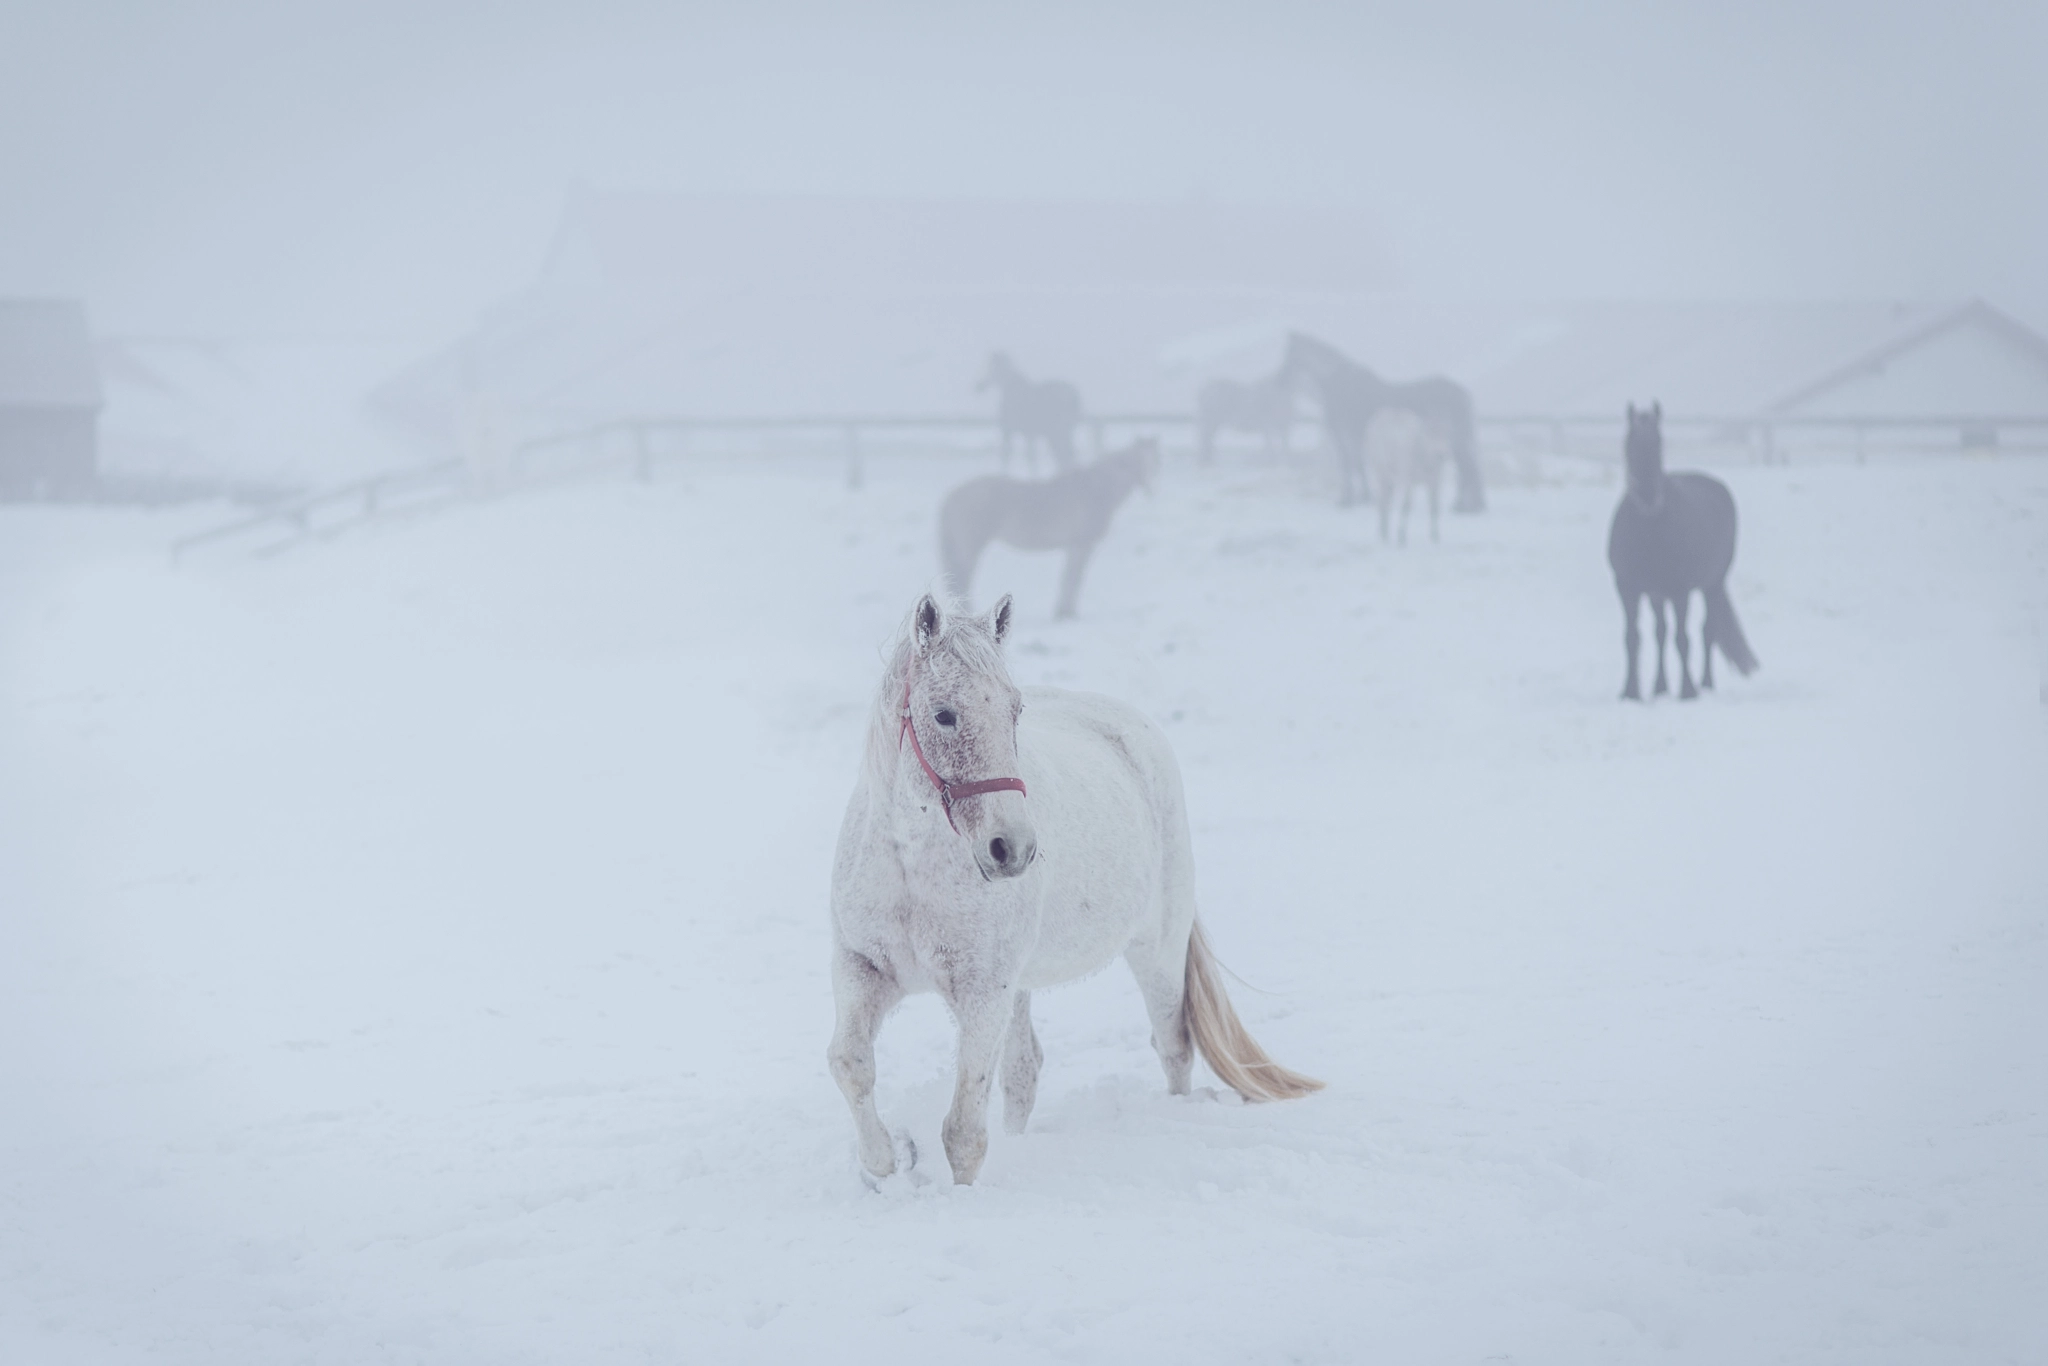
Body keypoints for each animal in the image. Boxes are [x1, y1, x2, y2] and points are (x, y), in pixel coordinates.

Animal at [823, 593, 1318, 1187]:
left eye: (1015, 710)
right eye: (943, 714)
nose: (1012, 848)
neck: (913, 866)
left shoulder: (983, 993)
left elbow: (963, 1131)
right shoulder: (863, 968)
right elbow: (850, 1064)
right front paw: (883, 1164)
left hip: (1157, 951)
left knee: (1173, 1045)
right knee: (1024, 1071)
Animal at [937, 438, 1163, 618]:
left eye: (1155, 462)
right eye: (1137, 462)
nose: (1150, 489)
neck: (1093, 491)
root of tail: (953, 495)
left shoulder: (1075, 547)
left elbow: (1070, 578)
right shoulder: (1080, 545)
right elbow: (1073, 579)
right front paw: (1066, 612)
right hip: (971, 548)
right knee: (962, 578)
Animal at [1269, 333, 1482, 516]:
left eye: (1289, 354)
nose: (1278, 381)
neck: (1339, 386)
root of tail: (1462, 392)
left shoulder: (1345, 438)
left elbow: (1351, 466)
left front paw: (1350, 500)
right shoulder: (1353, 439)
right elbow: (1357, 465)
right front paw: (1363, 498)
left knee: (1468, 468)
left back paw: (1465, 507)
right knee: (1467, 468)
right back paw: (1465, 506)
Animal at [1359, 405, 1458, 544]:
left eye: (1448, 433)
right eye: (1430, 432)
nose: (1442, 455)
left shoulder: (1435, 480)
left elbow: (1434, 507)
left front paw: (1435, 536)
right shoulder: (1407, 478)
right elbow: (1406, 506)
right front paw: (1401, 536)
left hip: (1391, 478)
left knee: (1387, 501)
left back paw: (1385, 530)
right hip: (1379, 472)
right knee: (1382, 500)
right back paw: (1383, 532)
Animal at [1605, 403, 1753, 704]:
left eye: (1658, 441)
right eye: (1630, 441)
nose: (1648, 495)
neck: (1649, 532)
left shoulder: (1680, 591)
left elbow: (1683, 639)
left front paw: (1687, 690)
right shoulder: (1627, 588)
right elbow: (1632, 638)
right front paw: (1631, 691)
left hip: (1712, 585)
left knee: (1706, 631)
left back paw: (1705, 682)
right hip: (1657, 595)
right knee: (1660, 633)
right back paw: (1660, 685)